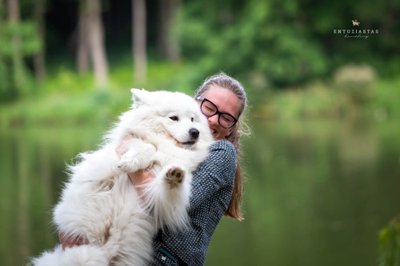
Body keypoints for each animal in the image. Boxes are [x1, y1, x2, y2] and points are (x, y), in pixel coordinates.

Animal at [32, 89, 214, 266]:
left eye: (193, 119)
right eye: (174, 118)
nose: (195, 132)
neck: (167, 149)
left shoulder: (160, 200)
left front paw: (174, 175)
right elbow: (146, 146)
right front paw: (130, 161)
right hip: (84, 251)